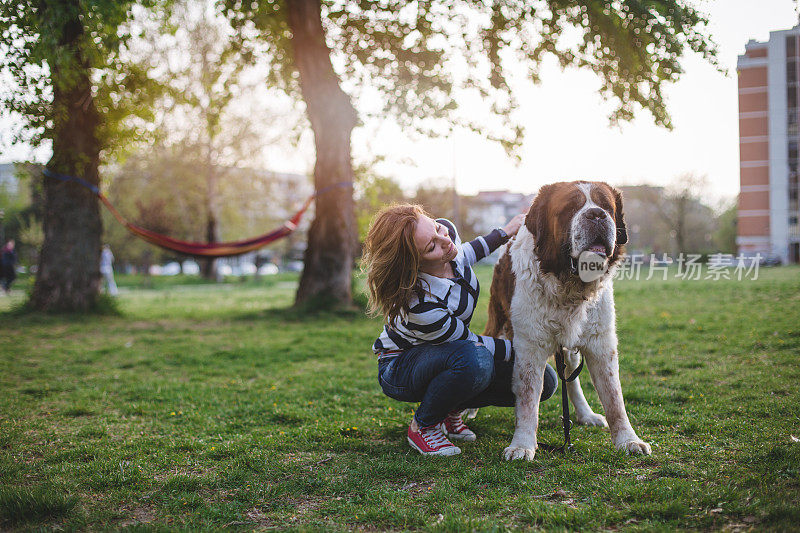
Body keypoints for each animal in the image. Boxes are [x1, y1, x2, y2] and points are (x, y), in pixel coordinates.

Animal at [488, 181, 648, 460]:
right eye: (571, 208)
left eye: (606, 207)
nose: (596, 215)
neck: (568, 287)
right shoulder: (529, 346)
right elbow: (528, 398)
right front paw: (522, 445)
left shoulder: (601, 343)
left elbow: (614, 397)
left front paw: (628, 440)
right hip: (499, 323)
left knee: (571, 379)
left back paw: (585, 414)